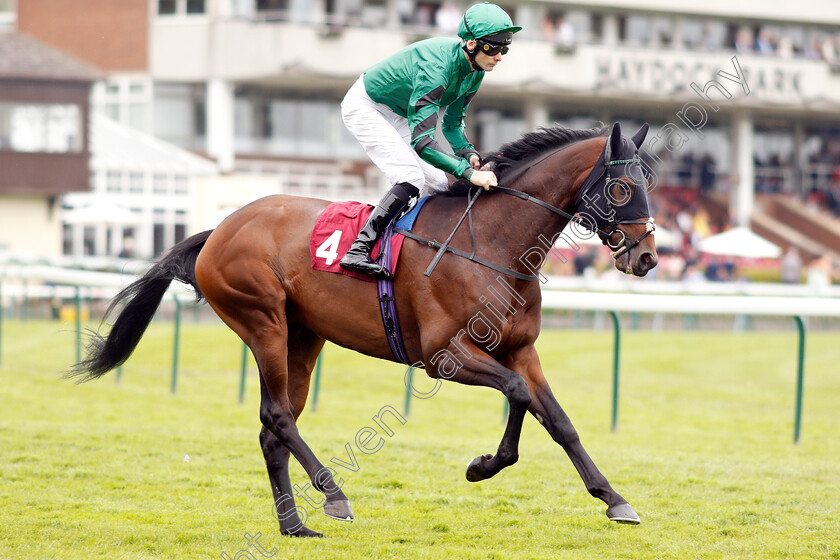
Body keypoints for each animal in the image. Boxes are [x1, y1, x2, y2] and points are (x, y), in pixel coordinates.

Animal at [72, 123, 660, 540]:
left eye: (650, 185)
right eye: (622, 186)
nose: (649, 257)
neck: (492, 245)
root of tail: (219, 228)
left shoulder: (520, 349)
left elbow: (557, 420)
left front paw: (614, 499)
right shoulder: (444, 355)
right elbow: (517, 395)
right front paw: (482, 466)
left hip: (303, 336)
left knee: (273, 428)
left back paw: (294, 525)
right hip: (262, 321)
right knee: (275, 415)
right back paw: (333, 495)